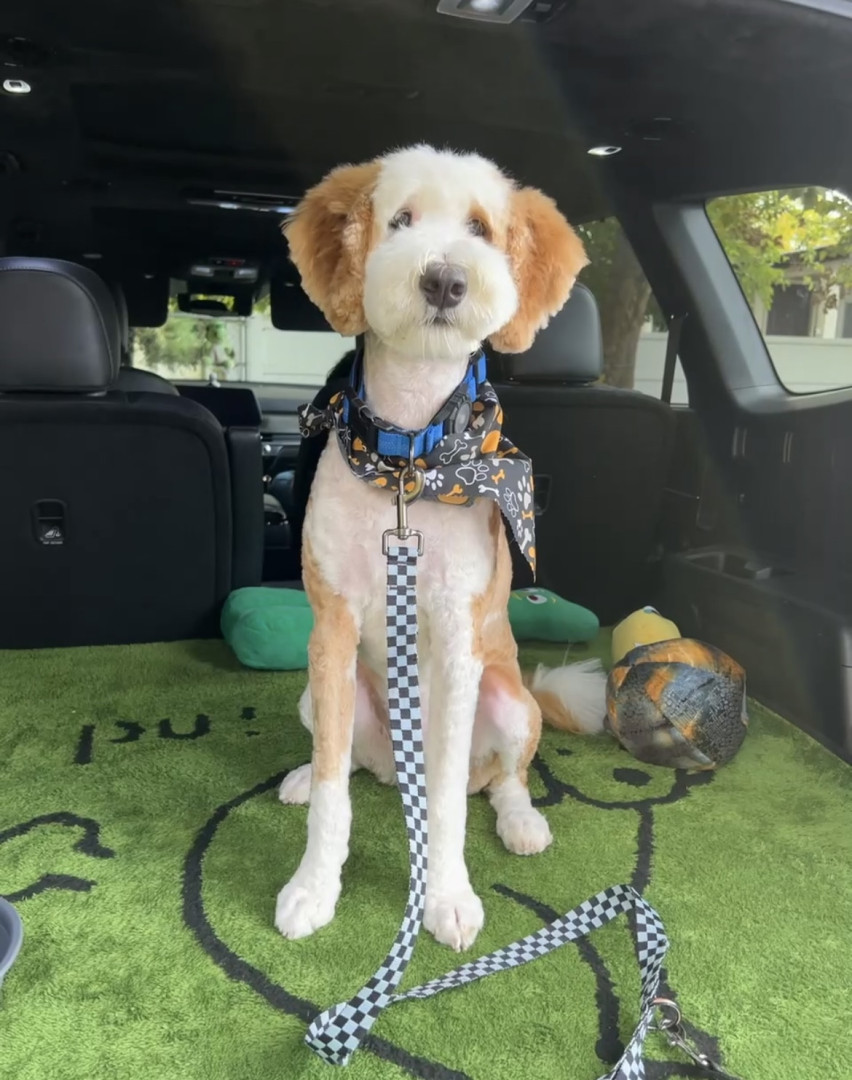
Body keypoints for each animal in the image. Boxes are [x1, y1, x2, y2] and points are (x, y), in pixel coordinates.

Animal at [275, 144, 607, 951]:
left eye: (481, 229)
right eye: (400, 220)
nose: (445, 279)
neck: (408, 459)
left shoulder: (458, 639)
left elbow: (453, 802)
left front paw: (448, 898)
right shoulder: (331, 628)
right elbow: (332, 789)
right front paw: (313, 889)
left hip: (511, 702)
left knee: (501, 780)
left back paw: (522, 822)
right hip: (316, 693)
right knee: (347, 765)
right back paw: (304, 779)